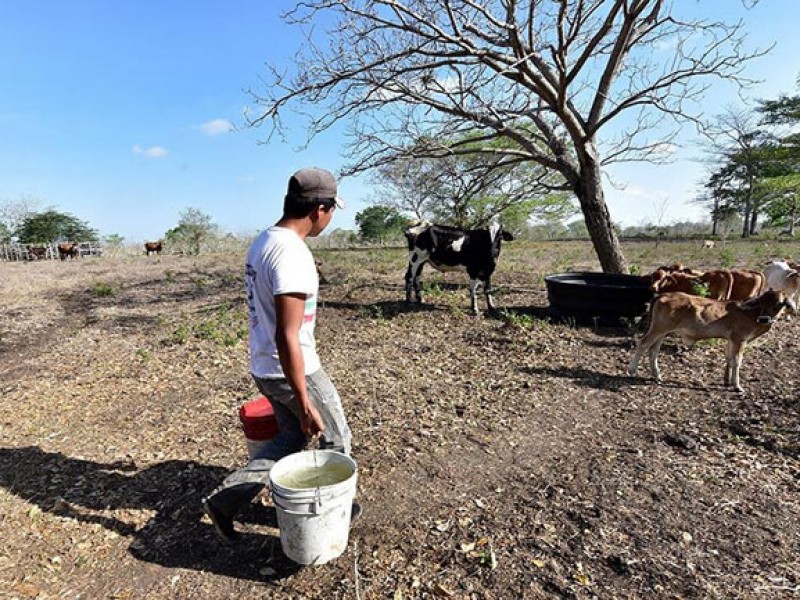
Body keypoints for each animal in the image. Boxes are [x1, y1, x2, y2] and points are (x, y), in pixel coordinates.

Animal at [632, 288, 792, 392]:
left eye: (779, 303)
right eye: (762, 302)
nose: (764, 319)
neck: (752, 314)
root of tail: (664, 294)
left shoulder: (731, 339)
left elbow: (729, 358)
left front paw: (727, 380)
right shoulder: (740, 339)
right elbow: (737, 361)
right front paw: (737, 385)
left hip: (662, 332)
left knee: (653, 350)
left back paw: (657, 376)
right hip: (658, 329)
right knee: (643, 344)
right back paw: (632, 371)